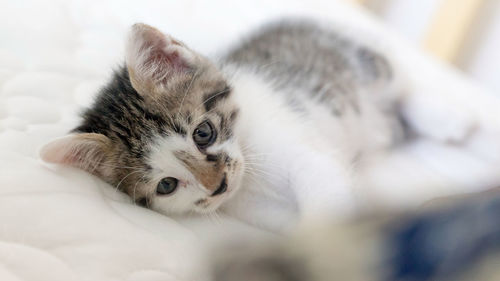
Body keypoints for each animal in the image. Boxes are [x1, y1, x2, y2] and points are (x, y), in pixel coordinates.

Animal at [40, 19, 472, 230]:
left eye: (203, 133)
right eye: (166, 185)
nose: (218, 185)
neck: (251, 174)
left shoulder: (307, 152)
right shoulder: (253, 210)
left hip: (362, 63)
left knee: (402, 85)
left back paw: (448, 120)